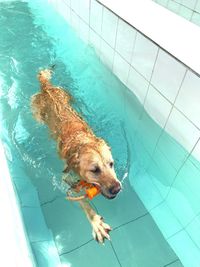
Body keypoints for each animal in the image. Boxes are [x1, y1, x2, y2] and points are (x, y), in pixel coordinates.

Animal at [31, 68, 122, 244]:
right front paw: (96, 223)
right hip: (36, 113)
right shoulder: (67, 180)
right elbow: (83, 201)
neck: (82, 143)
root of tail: (47, 87)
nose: (117, 188)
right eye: (95, 170)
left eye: (111, 164)